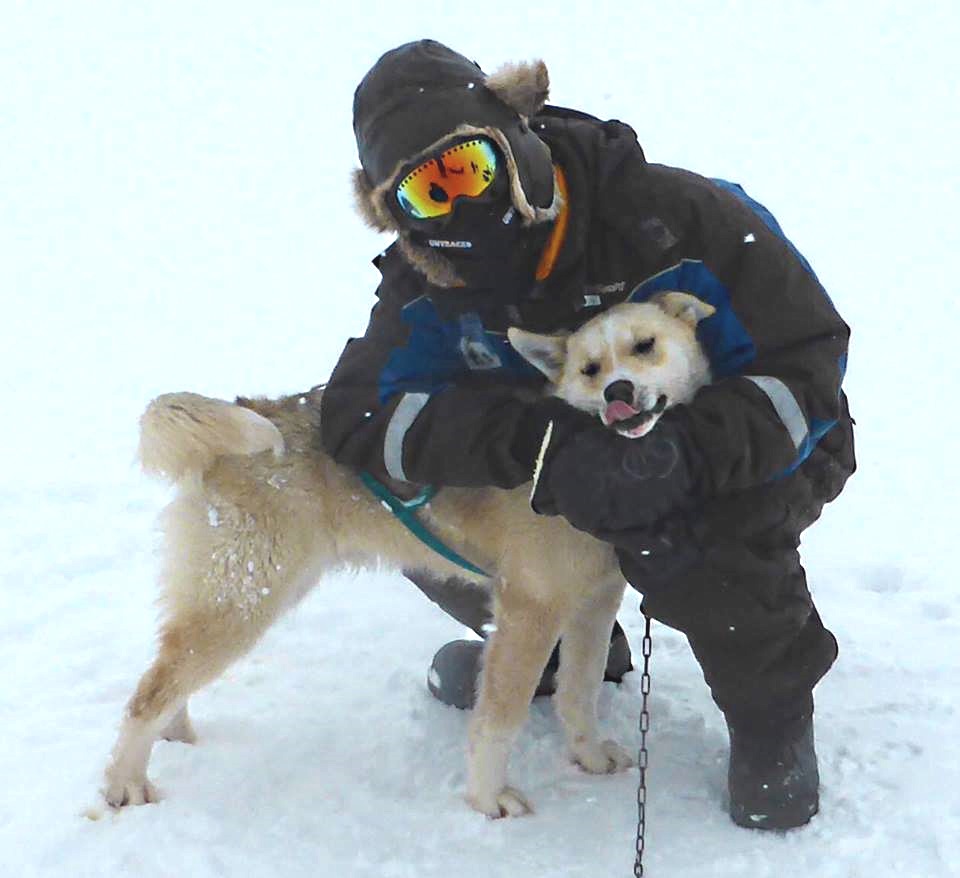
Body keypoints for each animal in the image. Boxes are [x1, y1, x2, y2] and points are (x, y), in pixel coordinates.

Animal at [101, 292, 712, 820]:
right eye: (590, 369)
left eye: (644, 345)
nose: (617, 390)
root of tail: (255, 413)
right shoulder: (529, 610)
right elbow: (500, 718)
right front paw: (487, 799)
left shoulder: (593, 602)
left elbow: (579, 690)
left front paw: (587, 754)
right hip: (246, 602)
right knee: (148, 694)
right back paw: (124, 783)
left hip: (247, 598)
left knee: (168, 673)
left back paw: (173, 735)